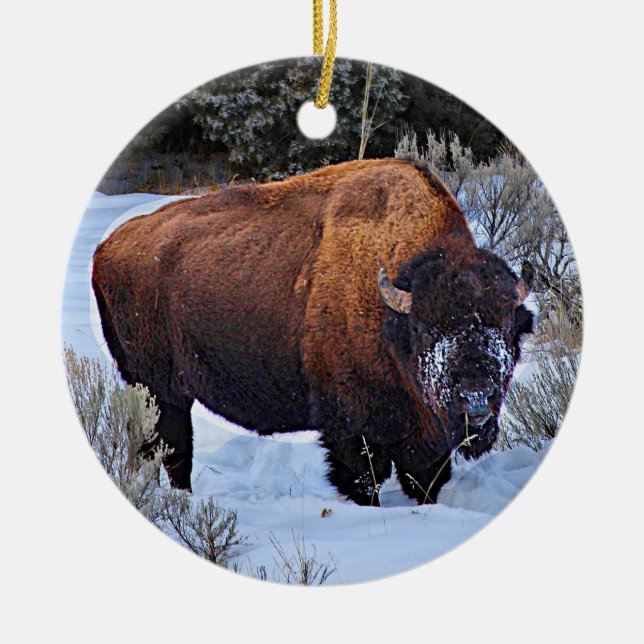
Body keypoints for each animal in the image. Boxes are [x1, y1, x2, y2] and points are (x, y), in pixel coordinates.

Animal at [92, 158, 534, 505]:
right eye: (426, 329)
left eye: (506, 327)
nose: (475, 400)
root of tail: (108, 247)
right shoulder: (350, 429)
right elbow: (362, 482)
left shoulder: (424, 442)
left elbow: (426, 480)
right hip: (157, 388)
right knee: (170, 448)